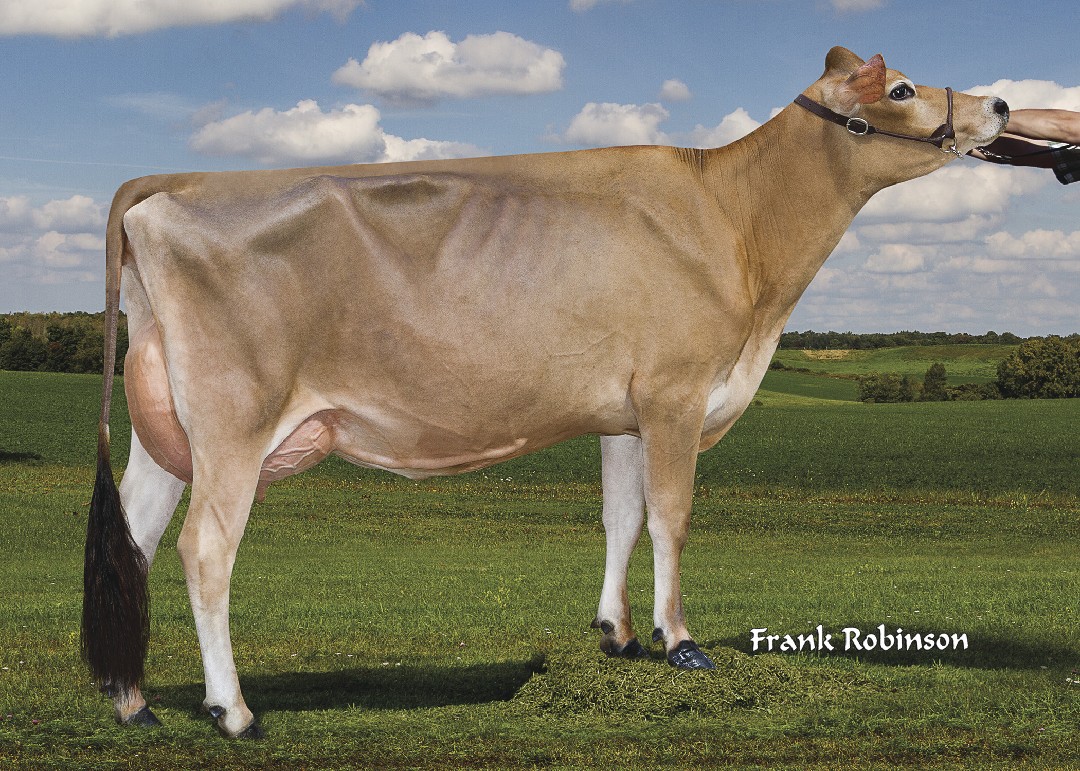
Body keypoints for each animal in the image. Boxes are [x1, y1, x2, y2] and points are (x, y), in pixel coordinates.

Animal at [82, 47, 1009, 737]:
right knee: (204, 547)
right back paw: (233, 711)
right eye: (901, 88)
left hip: (166, 426)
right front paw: (681, 642)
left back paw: (132, 702)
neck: (737, 226)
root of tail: (171, 186)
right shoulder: (675, 393)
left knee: (137, 536)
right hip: (234, 421)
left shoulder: (625, 411)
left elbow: (622, 514)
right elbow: (671, 516)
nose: (1000, 102)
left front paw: (618, 634)